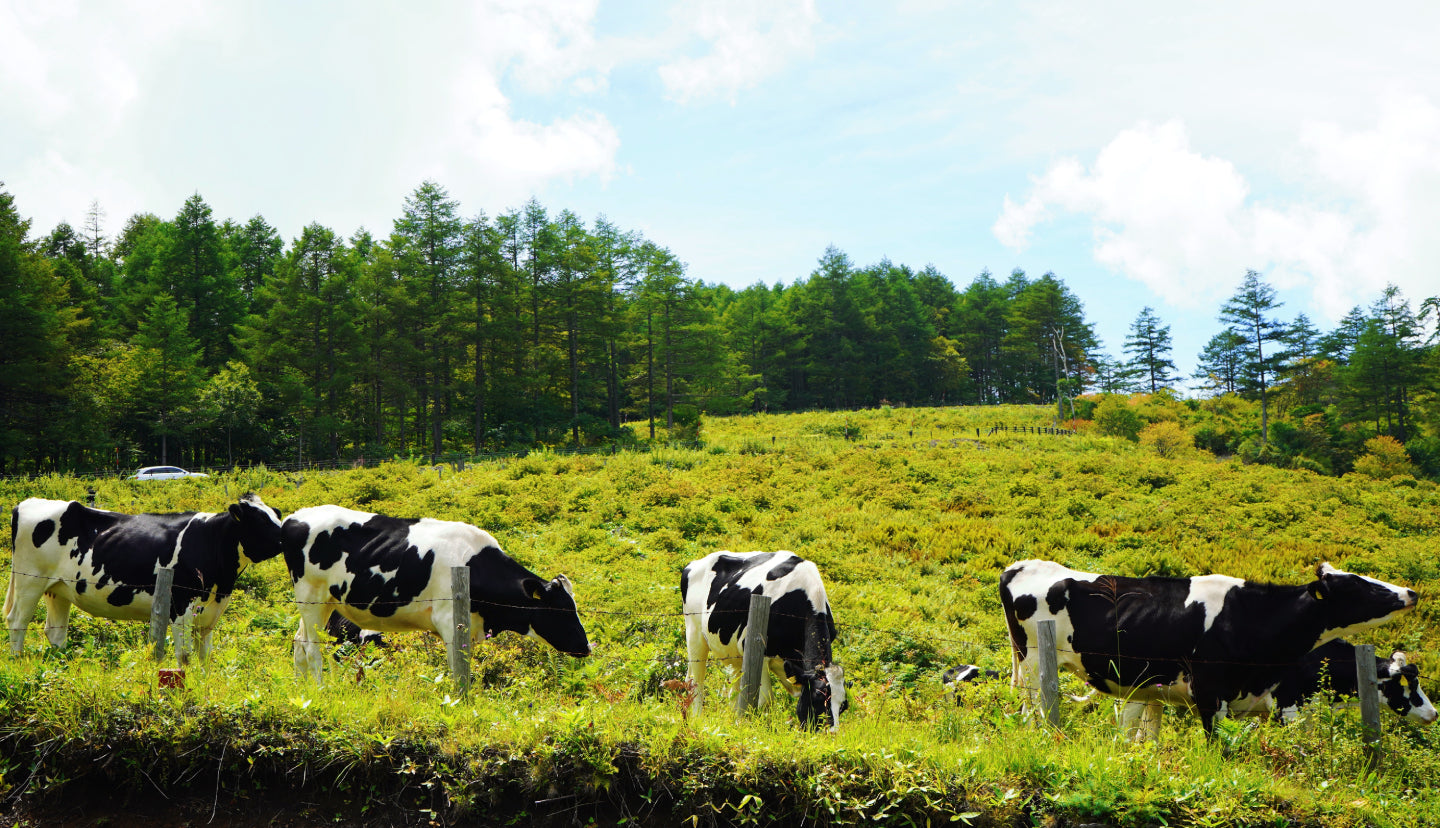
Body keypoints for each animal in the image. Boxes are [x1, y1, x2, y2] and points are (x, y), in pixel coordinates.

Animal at [5, 492, 285, 662]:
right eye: (259, 520)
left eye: (275, 514)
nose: (287, 536)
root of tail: (27, 503)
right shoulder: (180, 605)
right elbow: (184, 656)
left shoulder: (210, 612)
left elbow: (205, 657)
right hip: (30, 580)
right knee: (17, 621)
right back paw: (18, 661)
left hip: (58, 588)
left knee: (55, 631)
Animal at [283, 506, 587, 685]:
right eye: (561, 609)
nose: (586, 647)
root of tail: (295, 516)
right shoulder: (449, 621)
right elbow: (457, 666)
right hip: (311, 595)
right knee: (311, 647)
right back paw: (320, 689)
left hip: (323, 603)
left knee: (299, 641)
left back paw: (301, 689)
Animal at [676, 550, 840, 731]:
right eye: (817, 699)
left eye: (844, 706)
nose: (832, 734)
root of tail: (694, 563)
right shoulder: (757, 649)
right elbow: (766, 698)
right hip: (694, 632)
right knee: (696, 681)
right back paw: (697, 718)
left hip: (734, 653)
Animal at [1002, 561, 1416, 734]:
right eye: (1356, 585)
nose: (1410, 592)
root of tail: (1020, 565)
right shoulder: (1210, 692)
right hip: (1034, 661)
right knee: (1032, 705)